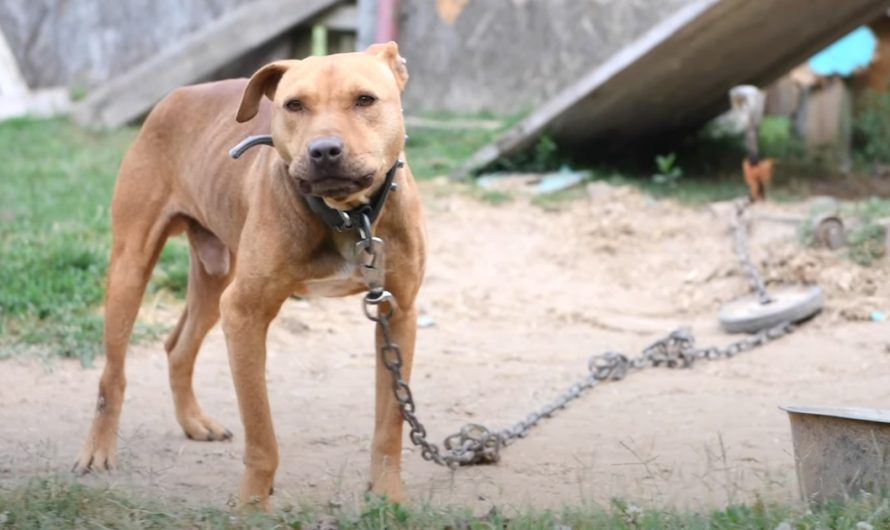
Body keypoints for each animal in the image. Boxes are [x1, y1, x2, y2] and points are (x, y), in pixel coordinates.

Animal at [74, 43, 424, 506]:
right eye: (294, 105)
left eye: (365, 100)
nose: (324, 150)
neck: (348, 216)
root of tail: (178, 94)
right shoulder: (244, 313)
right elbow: (261, 433)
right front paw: (252, 504)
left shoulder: (397, 313)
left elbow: (390, 422)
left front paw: (387, 496)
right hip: (132, 269)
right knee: (111, 376)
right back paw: (98, 450)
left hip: (215, 281)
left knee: (178, 347)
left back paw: (194, 421)